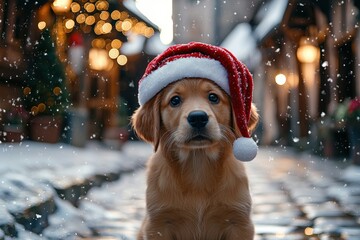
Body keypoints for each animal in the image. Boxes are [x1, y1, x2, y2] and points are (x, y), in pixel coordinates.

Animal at [132, 78, 258, 239]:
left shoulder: (239, 221)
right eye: (175, 100)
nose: (198, 117)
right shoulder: (158, 223)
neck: (198, 165)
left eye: (213, 97)